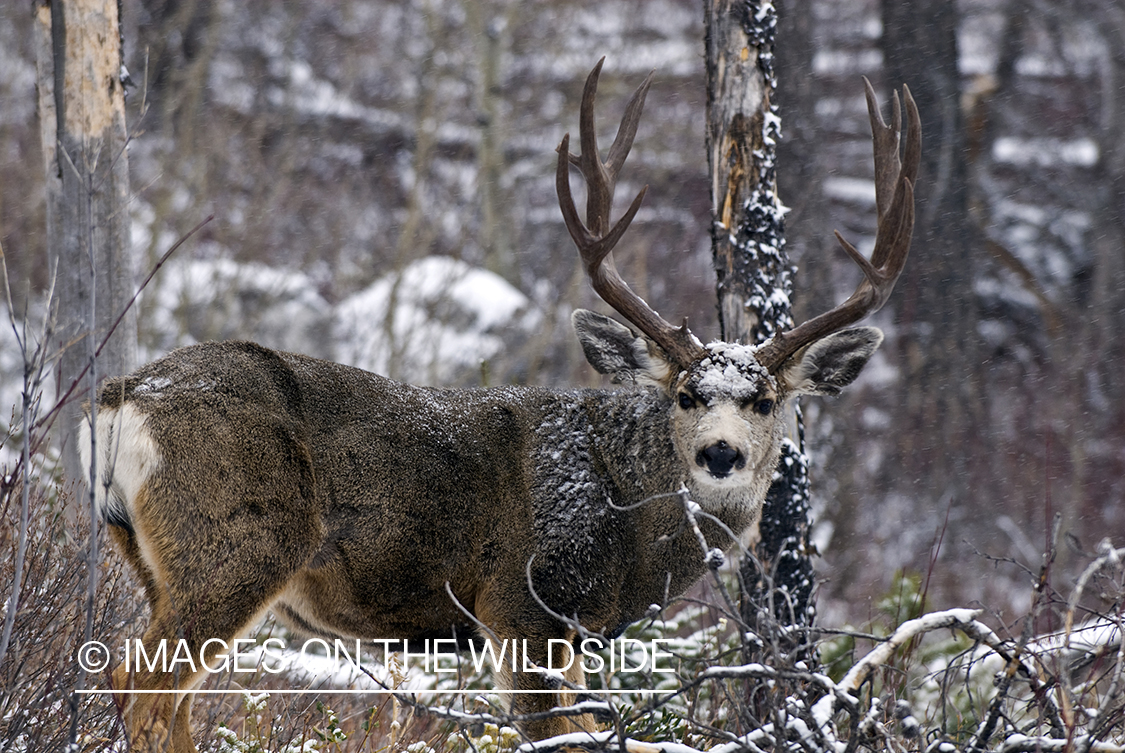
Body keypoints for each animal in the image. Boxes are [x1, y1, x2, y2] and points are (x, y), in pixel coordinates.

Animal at [81, 59, 919, 752]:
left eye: (765, 398)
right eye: (685, 394)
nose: (721, 452)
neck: (627, 525)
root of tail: (122, 399)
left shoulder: (574, 632)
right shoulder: (522, 605)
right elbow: (558, 737)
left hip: (153, 557)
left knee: (164, 695)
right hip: (237, 540)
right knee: (139, 683)